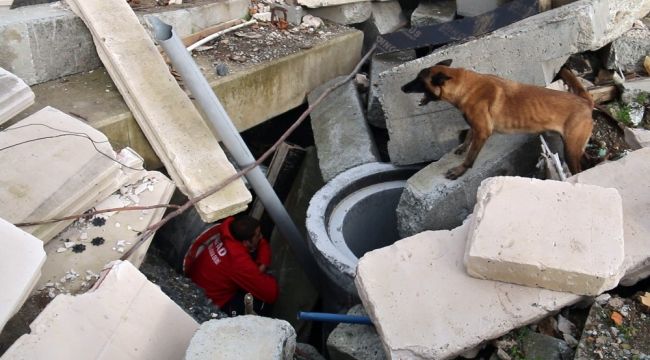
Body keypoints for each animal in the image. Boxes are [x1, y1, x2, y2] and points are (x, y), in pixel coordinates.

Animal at [400, 60, 592, 181]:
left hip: (570, 149)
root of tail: (585, 102)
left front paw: (460, 170)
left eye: (419, 80)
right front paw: (462, 146)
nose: (402, 87)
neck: (464, 85)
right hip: (574, 147)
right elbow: (468, 134)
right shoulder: (476, 125)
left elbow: (471, 157)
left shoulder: (482, 131)